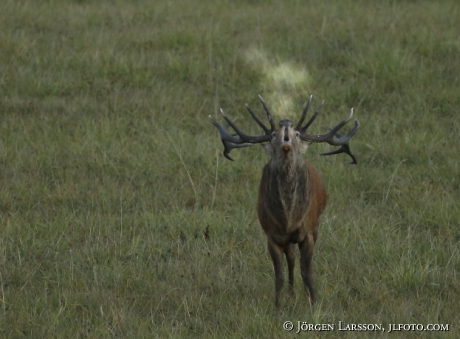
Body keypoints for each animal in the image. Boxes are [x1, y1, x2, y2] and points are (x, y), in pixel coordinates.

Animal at [208, 94, 360, 310]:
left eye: (297, 134)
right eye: (273, 135)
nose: (286, 122)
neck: (288, 218)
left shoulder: (307, 233)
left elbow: (308, 272)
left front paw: (314, 304)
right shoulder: (272, 236)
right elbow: (278, 275)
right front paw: (278, 308)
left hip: (317, 224)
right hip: (287, 239)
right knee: (292, 258)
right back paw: (292, 292)